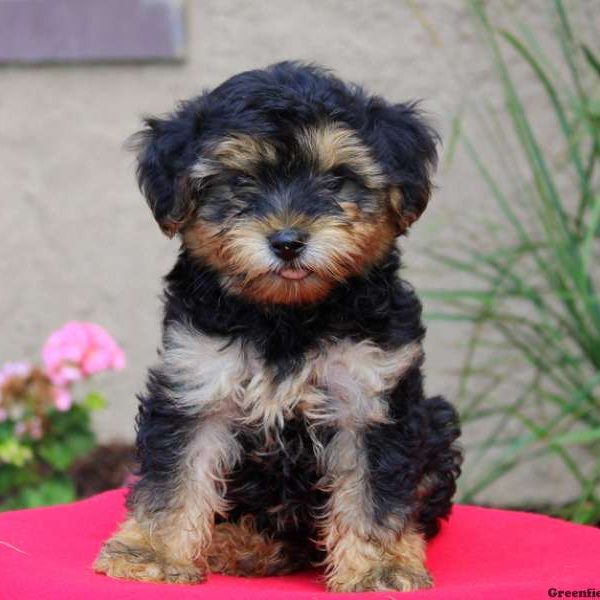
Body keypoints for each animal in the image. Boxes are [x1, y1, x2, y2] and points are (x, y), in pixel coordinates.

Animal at [94, 63, 462, 592]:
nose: (287, 241)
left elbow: (372, 491)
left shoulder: (368, 394)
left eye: (336, 179)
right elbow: (176, 474)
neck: (288, 316)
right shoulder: (197, 378)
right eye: (240, 181)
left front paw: (379, 565)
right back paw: (242, 543)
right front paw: (152, 553)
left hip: (435, 422)